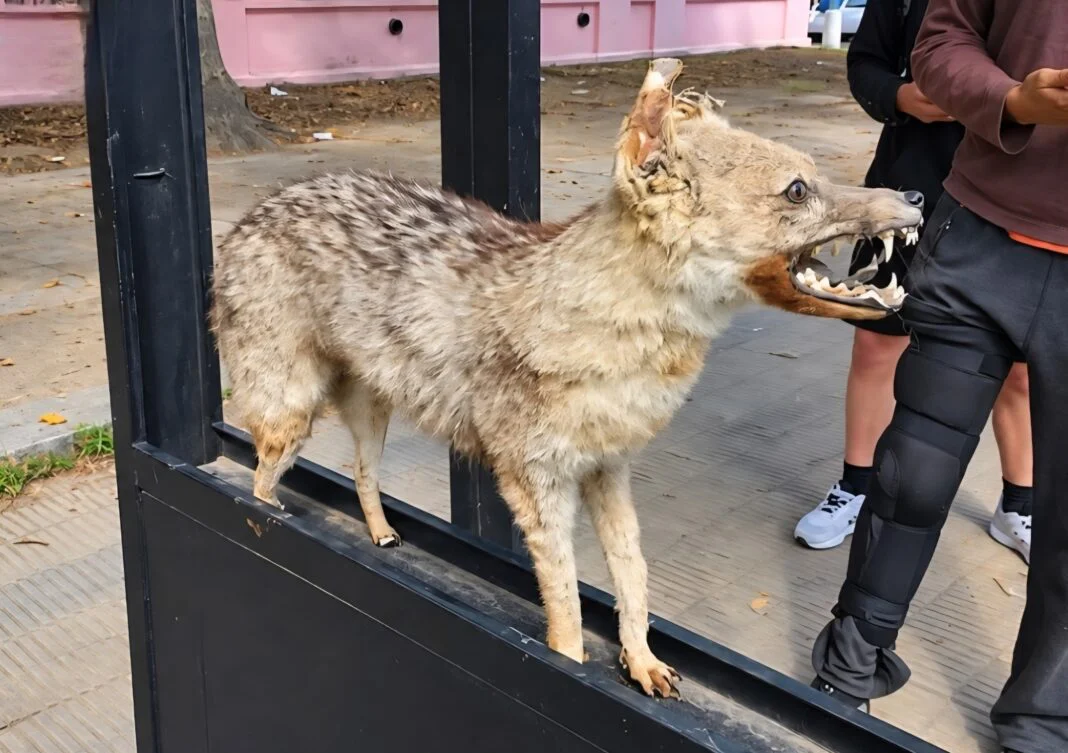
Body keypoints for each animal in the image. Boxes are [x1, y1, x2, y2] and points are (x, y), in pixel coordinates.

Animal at [210, 58, 923, 698]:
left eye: (814, 176)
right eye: (798, 189)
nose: (915, 198)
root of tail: (255, 214)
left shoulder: (610, 470)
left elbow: (633, 579)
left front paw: (642, 662)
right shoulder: (536, 486)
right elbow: (568, 610)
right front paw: (573, 670)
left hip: (371, 417)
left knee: (362, 475)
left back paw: (382, 532)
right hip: (292, 419)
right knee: (259, 481)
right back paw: (272, 517)